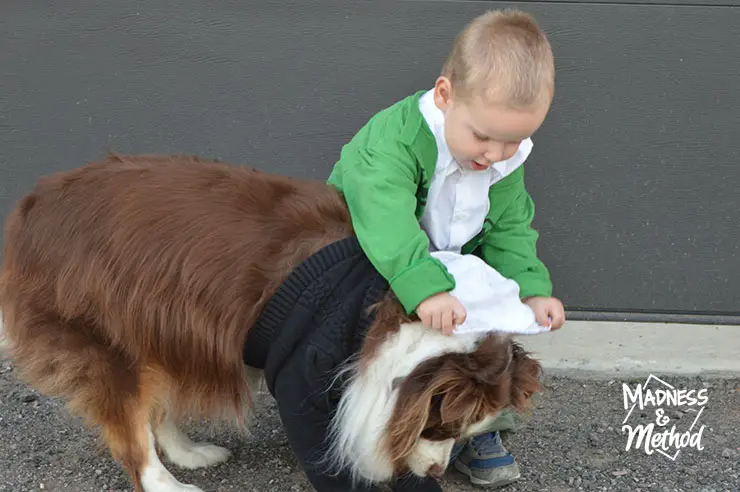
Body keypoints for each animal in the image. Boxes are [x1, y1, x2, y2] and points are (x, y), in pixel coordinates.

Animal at [0, 155, 544, 492]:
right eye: (442, 424)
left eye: (468, 432)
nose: (434, 471)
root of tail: (31, 204)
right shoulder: (308, 371)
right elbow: (322, 444)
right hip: (104, 332)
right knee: (131, 424)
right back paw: (168, 482)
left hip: (158, 324)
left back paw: (191, 452)